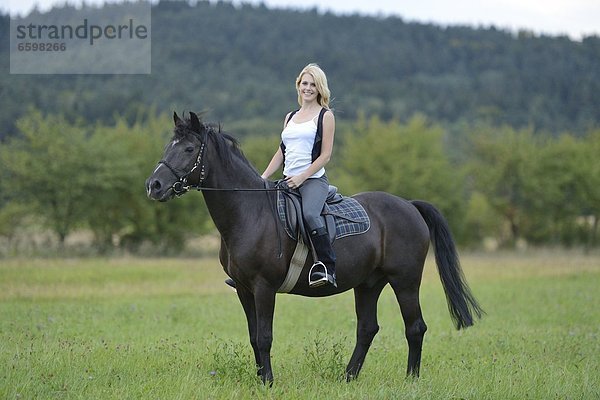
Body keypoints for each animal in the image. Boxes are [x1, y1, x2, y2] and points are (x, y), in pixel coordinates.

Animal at [145, 111, 482, 384]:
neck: (250, 212)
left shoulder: (264, 287)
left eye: (189, 149)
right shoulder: (243, 288)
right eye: (167, 147)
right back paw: (348, 378)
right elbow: (253, 337)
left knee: (415, 327)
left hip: (405, 281)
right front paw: (259, 379)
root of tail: (409, 205)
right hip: (369, 284)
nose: (154, 186)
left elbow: (265, 337)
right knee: (367, 329)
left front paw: (268, 382)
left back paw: (410, 379)